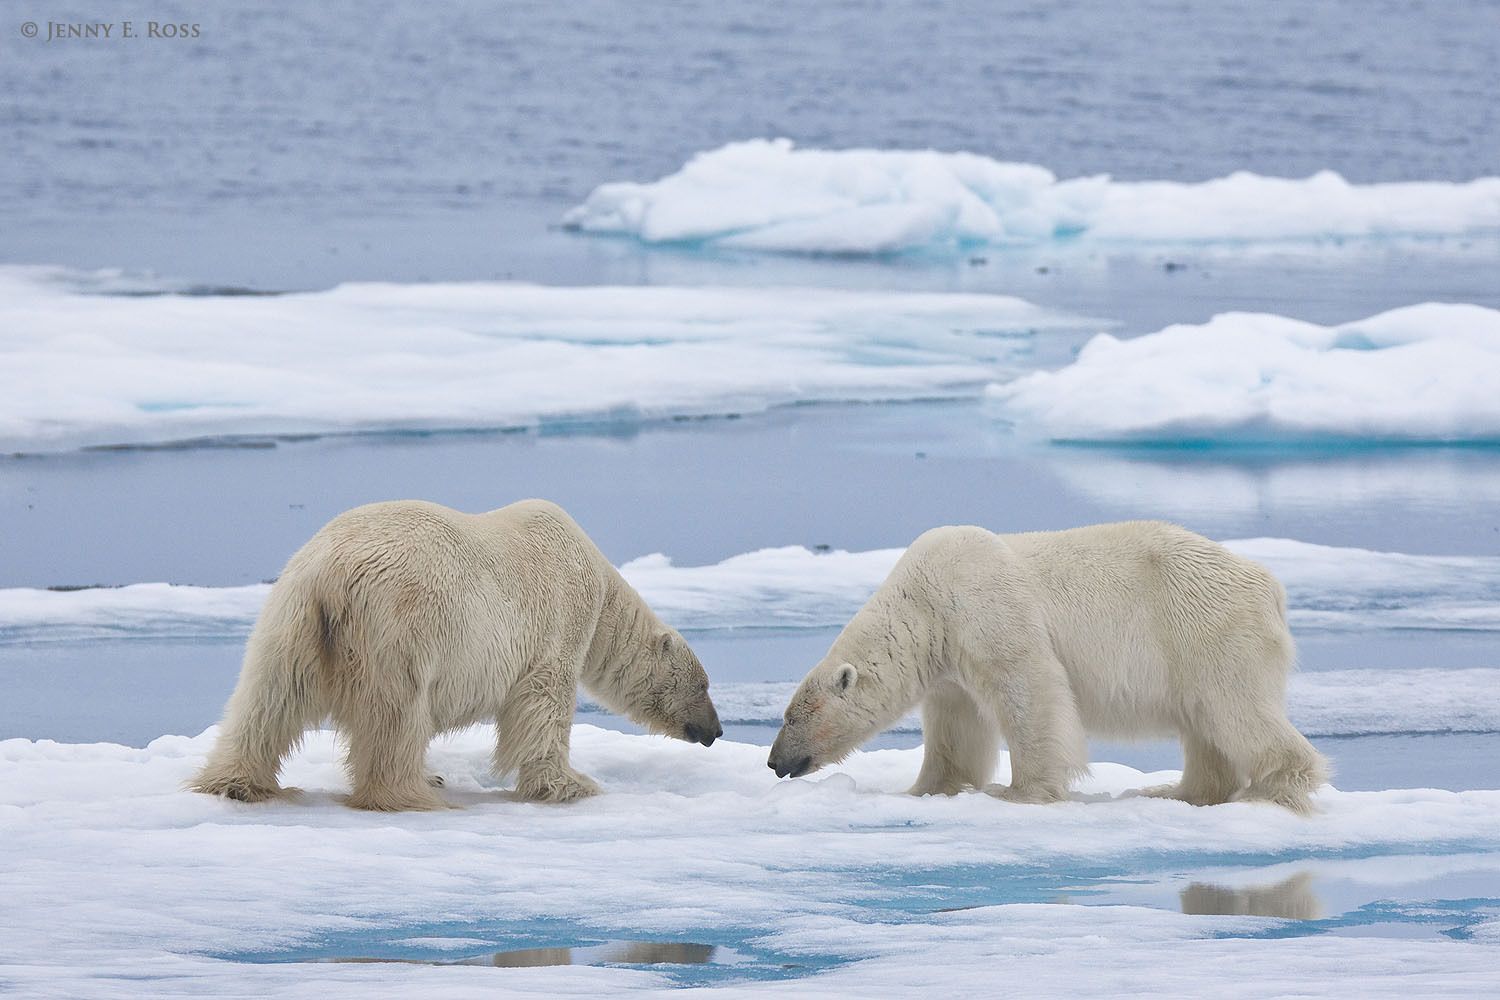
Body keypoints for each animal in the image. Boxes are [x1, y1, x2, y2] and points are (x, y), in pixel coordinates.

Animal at [191, 498, 722, 810]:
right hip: (401, 627)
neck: (602, 588)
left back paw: (235, 783)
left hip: (291, 621)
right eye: (703, 684)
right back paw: (412, 790)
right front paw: (572, 784)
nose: (715, 730)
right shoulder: (557, 622)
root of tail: (331, 573)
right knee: (397, 715)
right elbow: (543, 705)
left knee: (268, 699)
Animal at [767, 521, 1329, 814]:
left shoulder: (986, 606)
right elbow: (956, 725)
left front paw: (1018, 792)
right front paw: (925, 789)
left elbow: (1029, 689)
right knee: (1205, 723)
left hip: (1204, 626)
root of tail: (1270, 586)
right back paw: (1175, 790)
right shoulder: (948, 657)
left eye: (792, 718)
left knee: (1233, 707)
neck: (924, 601)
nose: (774, 762)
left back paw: (1270, 788)